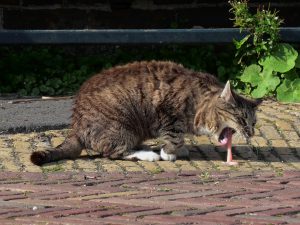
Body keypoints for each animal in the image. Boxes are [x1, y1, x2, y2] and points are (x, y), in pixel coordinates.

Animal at [31, 61, 260, 165]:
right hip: (121, 127)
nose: (250, 133)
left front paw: (178, 149)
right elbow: (174, 137)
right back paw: (148, 154)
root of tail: (76, 126)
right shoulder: (168, 114)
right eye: (241, 119)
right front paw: (169, 153)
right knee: (113, 152)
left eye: (254, 123)